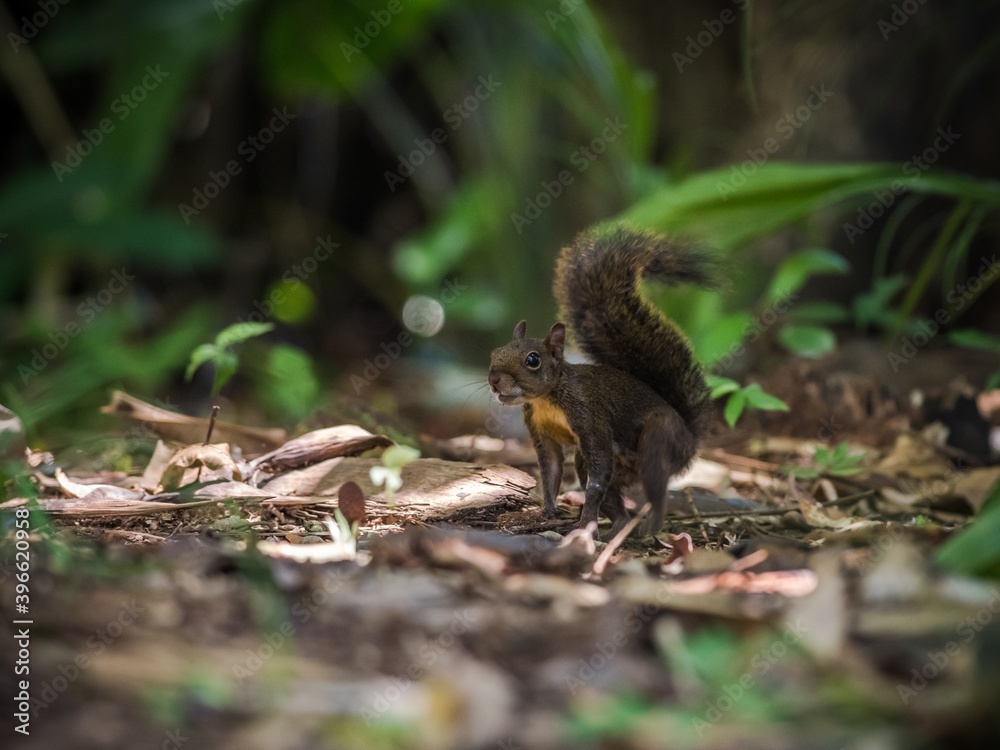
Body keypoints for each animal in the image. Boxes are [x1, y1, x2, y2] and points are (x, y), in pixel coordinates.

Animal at [488, 225, 716, 540]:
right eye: (494, 353)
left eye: (533, 360)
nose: (494, 380)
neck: (548, 398)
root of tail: (690, 438)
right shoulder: (540, 430)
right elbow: (552, 472)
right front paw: (546, 511)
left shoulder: (589, 414)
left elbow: (596, 477)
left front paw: (584, 521)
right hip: (611, 467)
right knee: (607, 489)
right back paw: (616, 526)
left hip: (661, 438)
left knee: (654, 484)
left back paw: (649, 525)